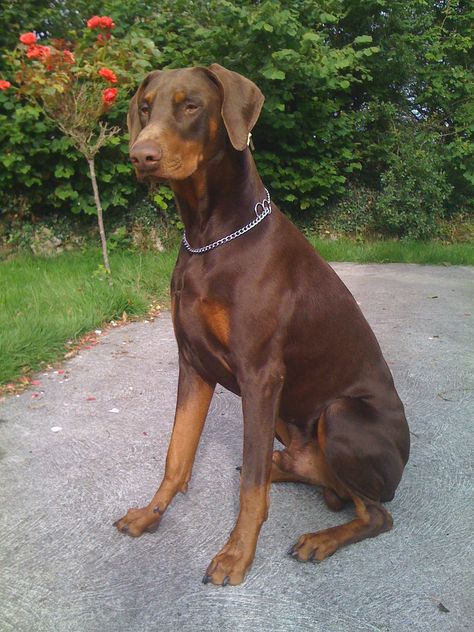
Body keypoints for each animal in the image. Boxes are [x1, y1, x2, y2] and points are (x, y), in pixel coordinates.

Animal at [113, 65, 410, 588]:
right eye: (145, 108)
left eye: (191, 105)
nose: (140, 155)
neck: (209, 237)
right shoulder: (193, 365)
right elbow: (176, 454)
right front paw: (150, 514)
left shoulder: (260, 374)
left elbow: (251, 487)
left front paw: (237, 555)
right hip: (286, 419)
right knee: (314, 476)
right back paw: (285, 466)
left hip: (339, 414)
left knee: (376, 512)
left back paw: (320, 538)